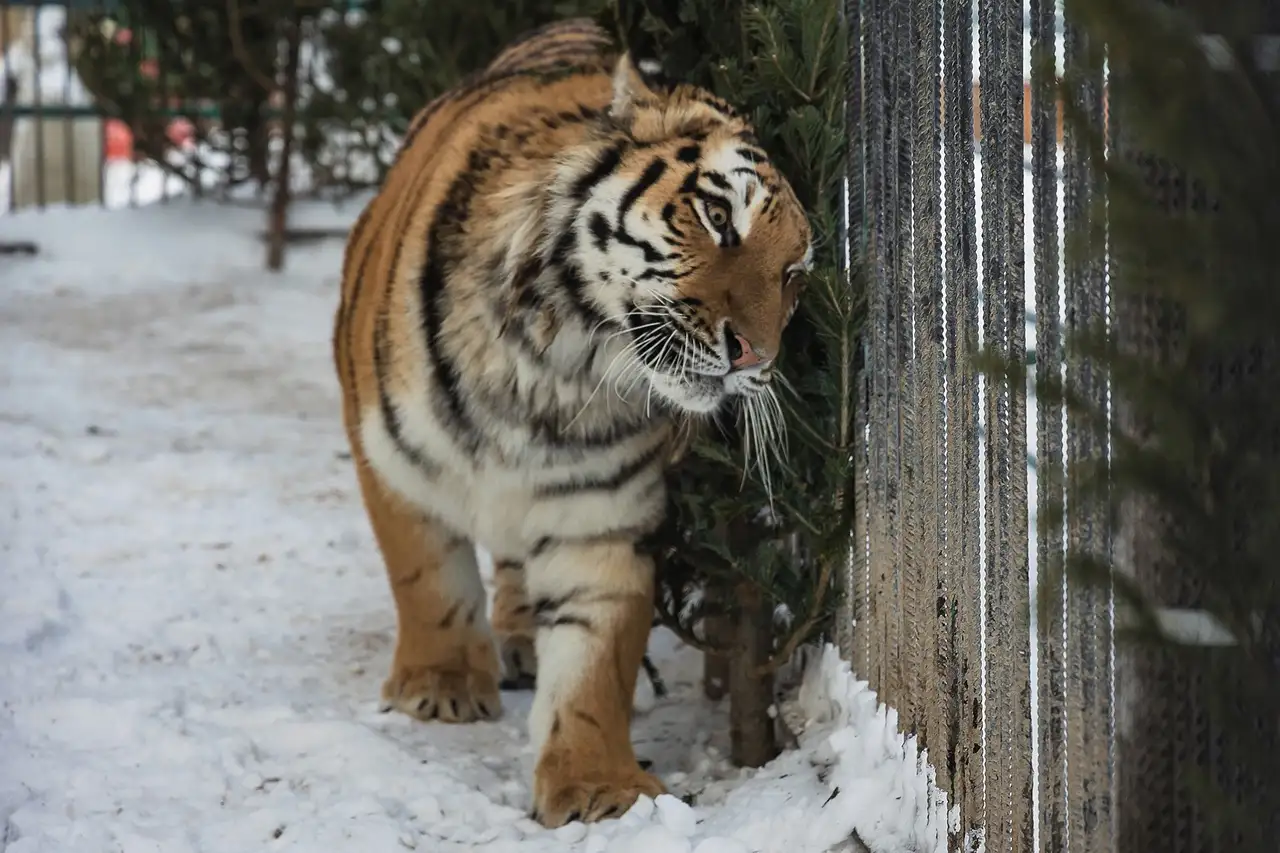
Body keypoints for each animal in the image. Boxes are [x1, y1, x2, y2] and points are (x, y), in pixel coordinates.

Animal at [330, 14, 808, 824]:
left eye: (794, 276)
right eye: (718, 218)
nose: (756, 356)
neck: (558, 370)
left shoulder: (599, 515)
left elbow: (595, 658)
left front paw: (599, 787)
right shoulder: (393, 458)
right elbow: (427, 577)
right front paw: (440, 687)